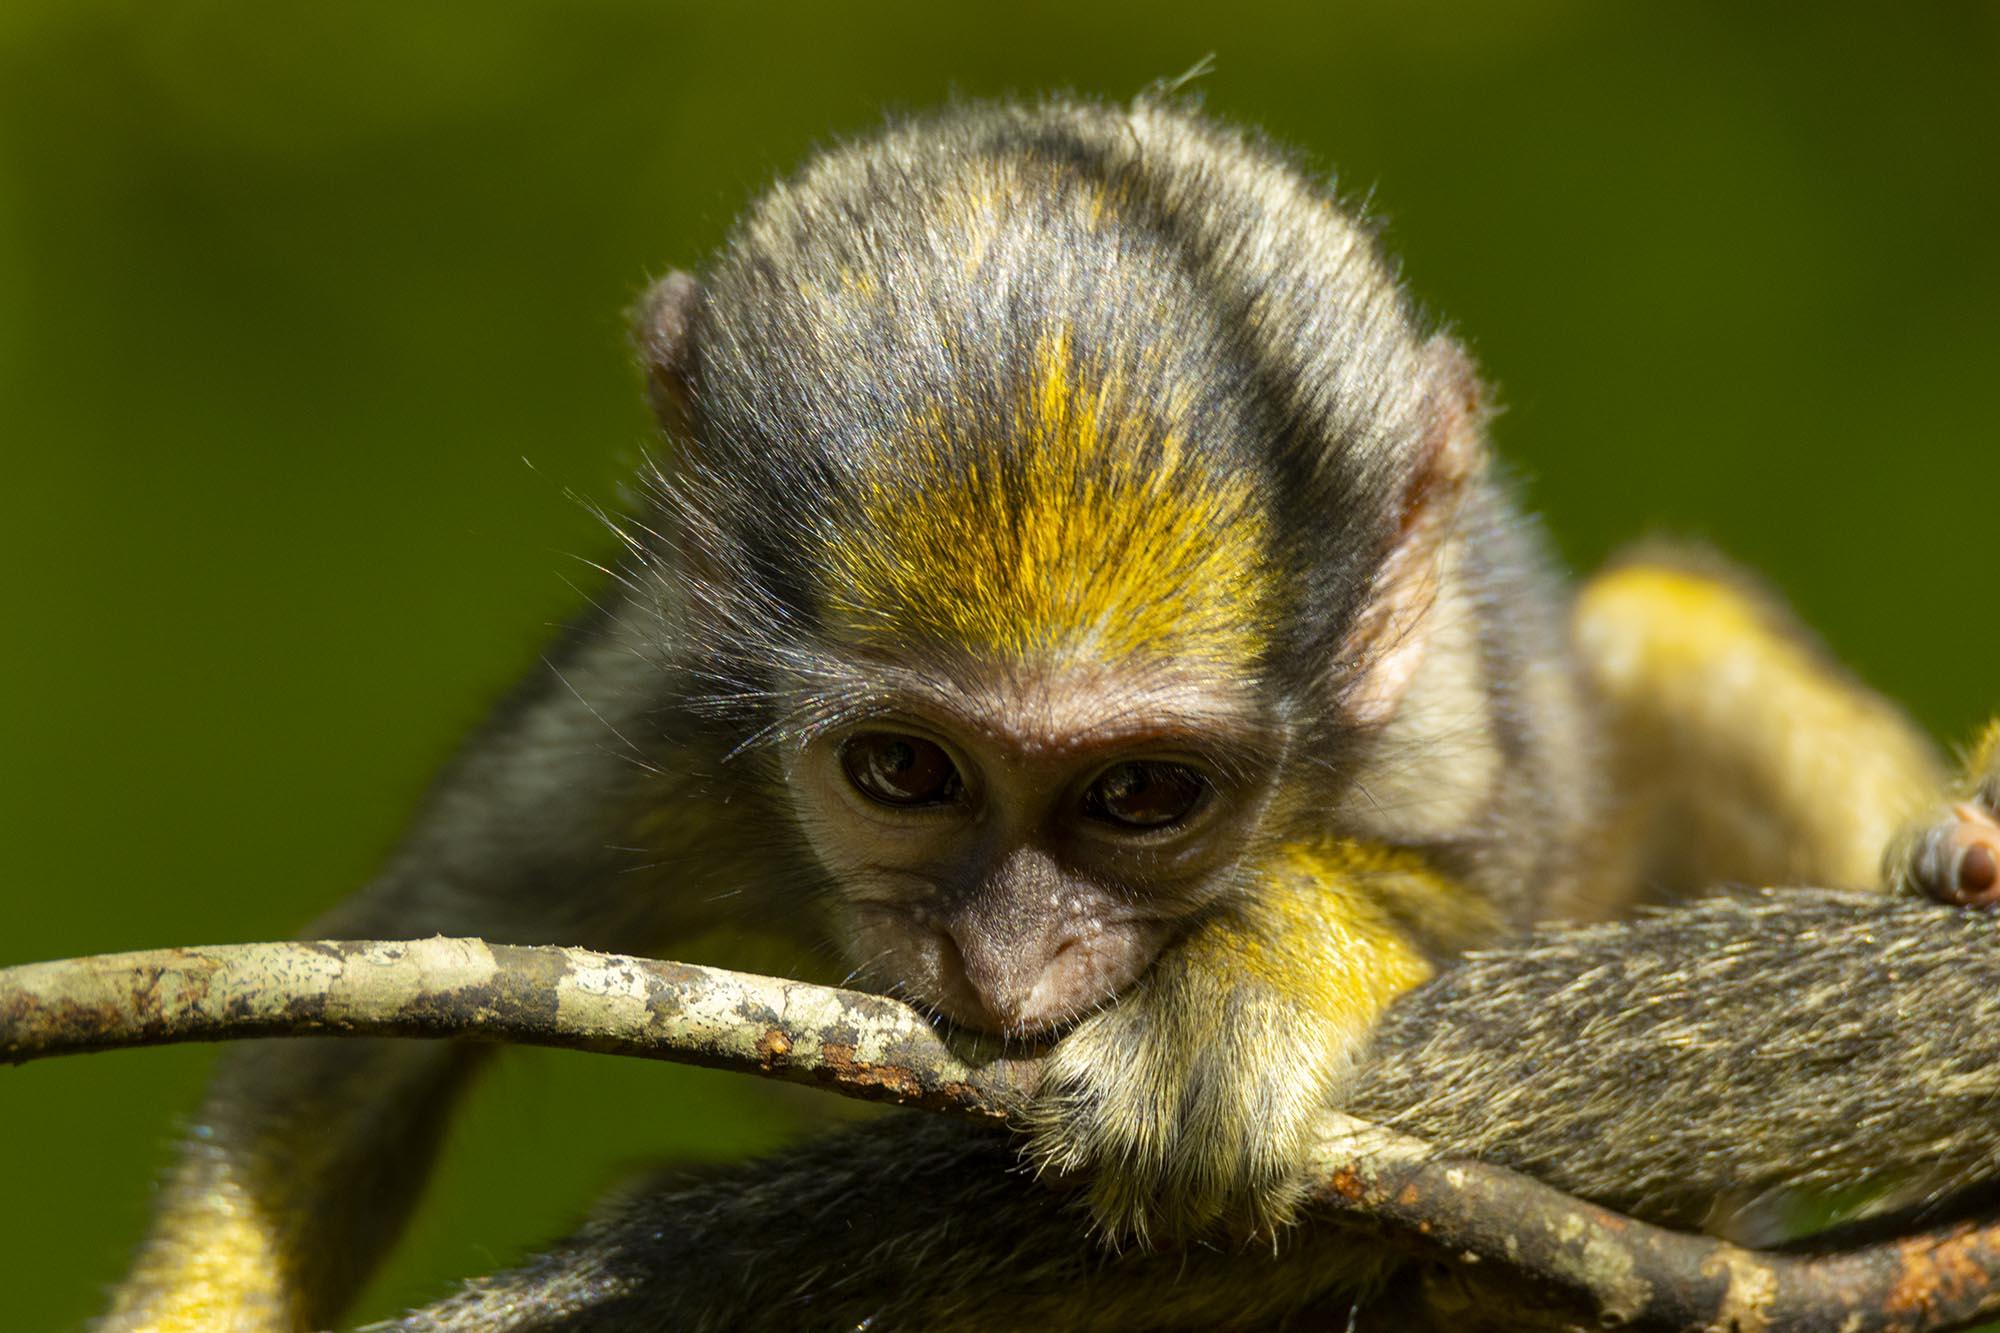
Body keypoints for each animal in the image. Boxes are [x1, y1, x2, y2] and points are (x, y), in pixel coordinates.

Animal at [105, 96, 1968, 1328]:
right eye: (903, 772)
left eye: (1141, 797)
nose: (1006, 967)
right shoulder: (653, 727)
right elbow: (388, 987)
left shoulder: (1438, 717)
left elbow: (1506, 949)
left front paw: (1250, 981)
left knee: (1664, 629)